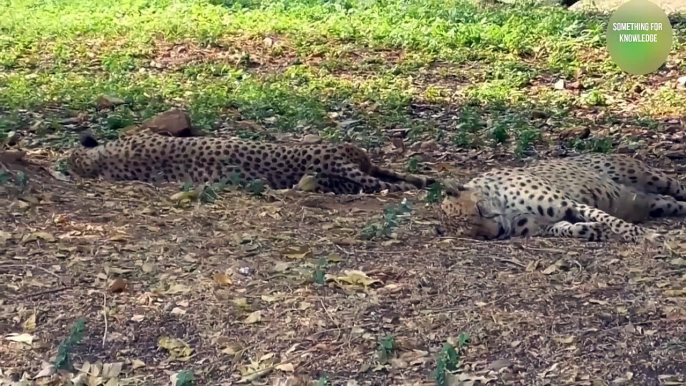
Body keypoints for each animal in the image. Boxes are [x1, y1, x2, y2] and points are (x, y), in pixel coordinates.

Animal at [440, 153, 686, 241]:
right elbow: (567, 229)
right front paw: (594, 230)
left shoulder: (571, 204)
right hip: (657, 203)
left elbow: (612, 220)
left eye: (479, 210)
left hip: (653, 178)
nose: (498, 232)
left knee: (679, 188)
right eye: (478, 235)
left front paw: (641, 235)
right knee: (673, 204)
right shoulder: (547, 223)